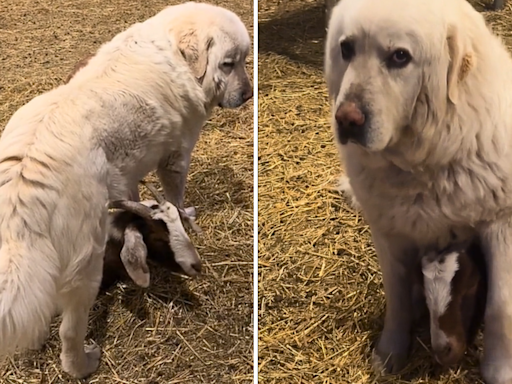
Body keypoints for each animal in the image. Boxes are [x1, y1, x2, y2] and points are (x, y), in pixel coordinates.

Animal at [0, 0, 252, 378]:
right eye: (228, 63)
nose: (249, 95)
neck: (175, 55)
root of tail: (26, 179)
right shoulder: (176, 158)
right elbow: (176, 200)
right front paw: (183, 222)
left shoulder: (128, 171)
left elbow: (134, 202)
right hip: (86, 264)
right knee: (70, 331)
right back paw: (83, 364)